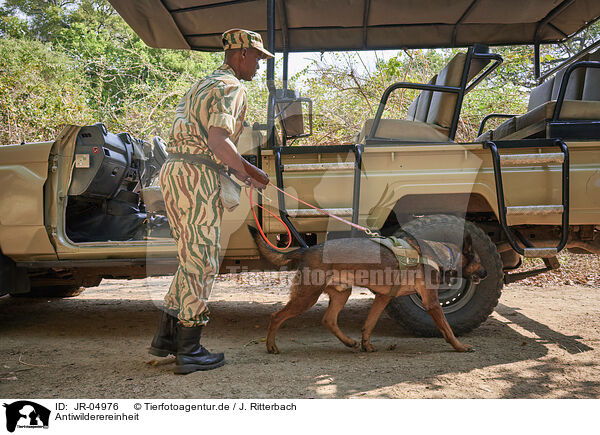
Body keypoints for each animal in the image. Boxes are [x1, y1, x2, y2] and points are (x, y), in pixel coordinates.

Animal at [248, 227, 488, 356]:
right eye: (478, 260)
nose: (486, 273)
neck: (443, 255)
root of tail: (307, 250)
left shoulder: (383, 297)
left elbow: (369, 324)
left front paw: (366, 344)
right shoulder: (432, 302)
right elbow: (447, 329)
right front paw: (460, 346)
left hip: (341, 293)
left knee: (329, 320)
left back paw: (349, 342)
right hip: (307, 297)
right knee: (276, 316)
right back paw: (271, 346)